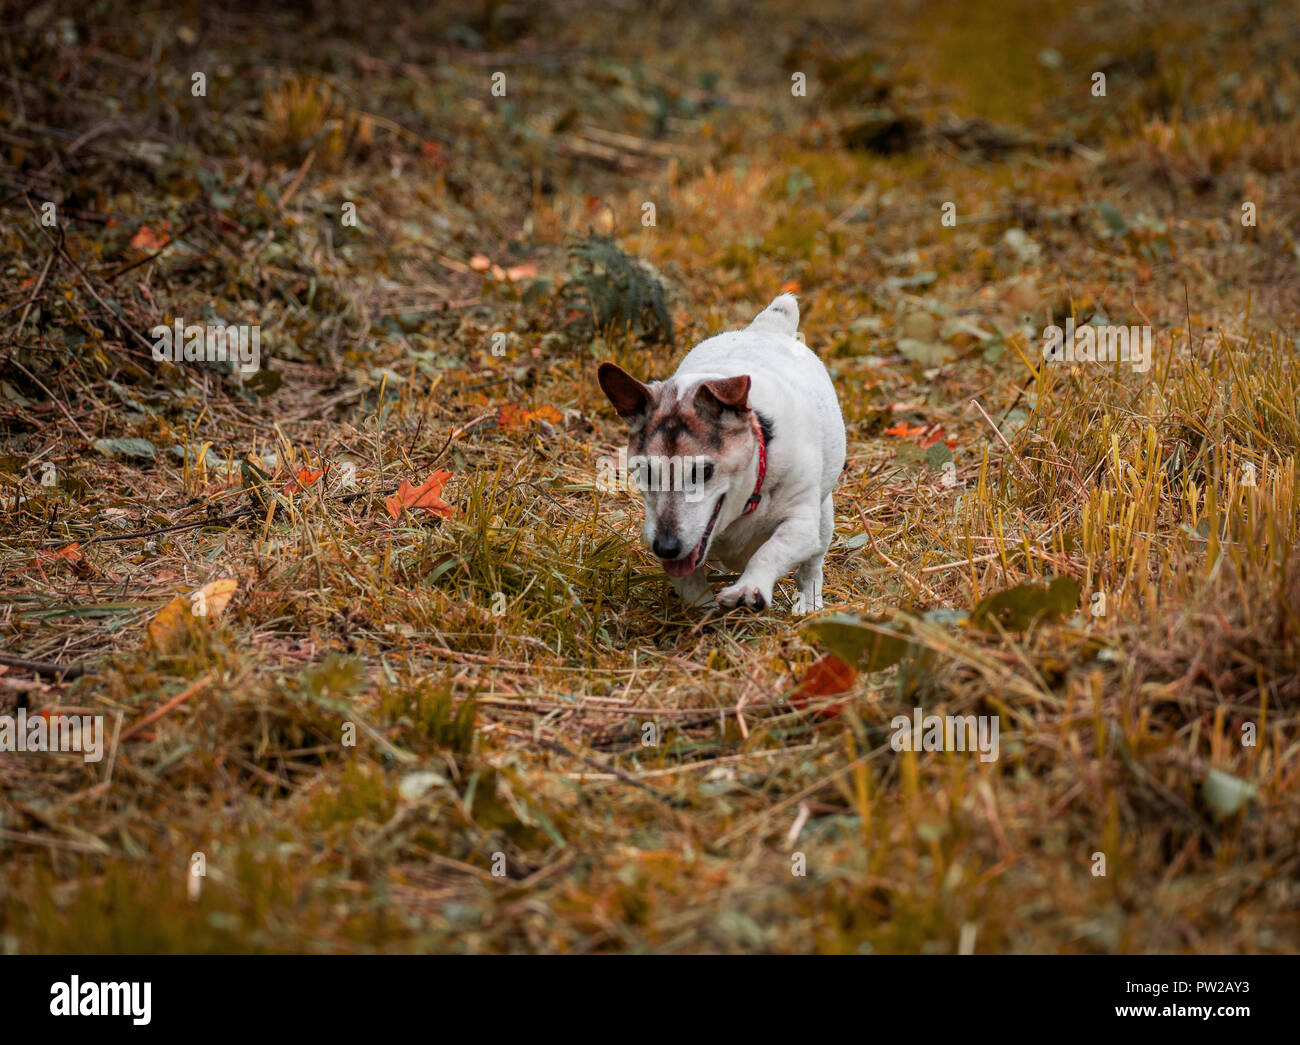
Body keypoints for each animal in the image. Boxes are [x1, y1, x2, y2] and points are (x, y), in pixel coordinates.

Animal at [595, 293, 842, 608]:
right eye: (646, 472)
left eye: (704, 472)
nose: (666, 547)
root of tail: (767, 327)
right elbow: (688, 582)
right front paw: (704, 607)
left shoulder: (800, 525)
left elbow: (769, 551)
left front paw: (750, 589)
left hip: (823, 519)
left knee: (812, 566)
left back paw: (808, 603)